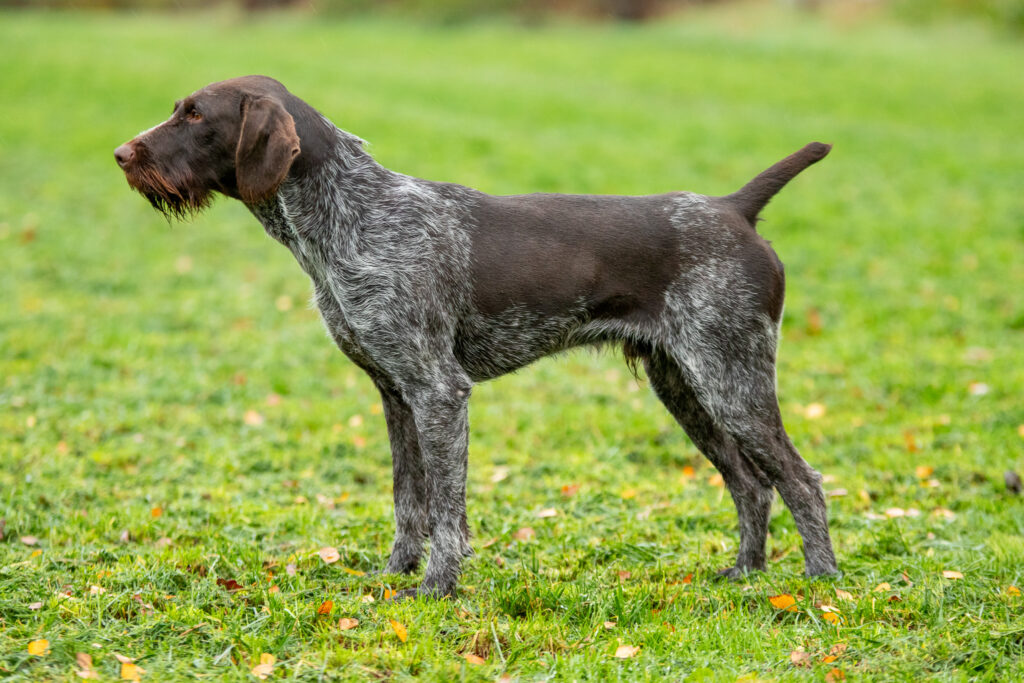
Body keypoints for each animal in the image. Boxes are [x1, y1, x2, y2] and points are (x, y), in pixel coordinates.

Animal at [115, 75, 838, 598]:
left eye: (195, 116)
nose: (122, 153)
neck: (348, 217)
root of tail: (733, 208)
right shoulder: (396, 393)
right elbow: (408, 500)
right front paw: (395, 577)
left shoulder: (439, 391)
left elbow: (444, 509)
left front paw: (437, 589)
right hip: (686, 386)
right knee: (752, 484)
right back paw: (744, 574)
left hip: (731, 379)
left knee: (801, 480)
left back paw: (820, 584)